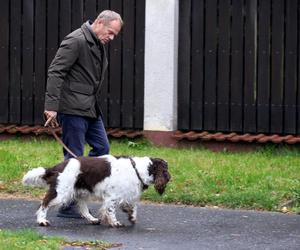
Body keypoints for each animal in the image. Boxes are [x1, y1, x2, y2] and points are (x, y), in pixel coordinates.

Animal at [22, 154, 170, 227]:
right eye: (166, 169)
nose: (170, 177)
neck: (137, 169)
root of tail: (58, 166)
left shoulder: (127, 195)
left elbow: (133, 207)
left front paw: (132, 217)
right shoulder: (112, 197)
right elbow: (111, 211)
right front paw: (115, 223)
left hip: (80, 193)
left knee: (83, 209)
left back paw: (93, 220)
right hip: (61, 193)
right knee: (44, 204)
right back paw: (42, 221)